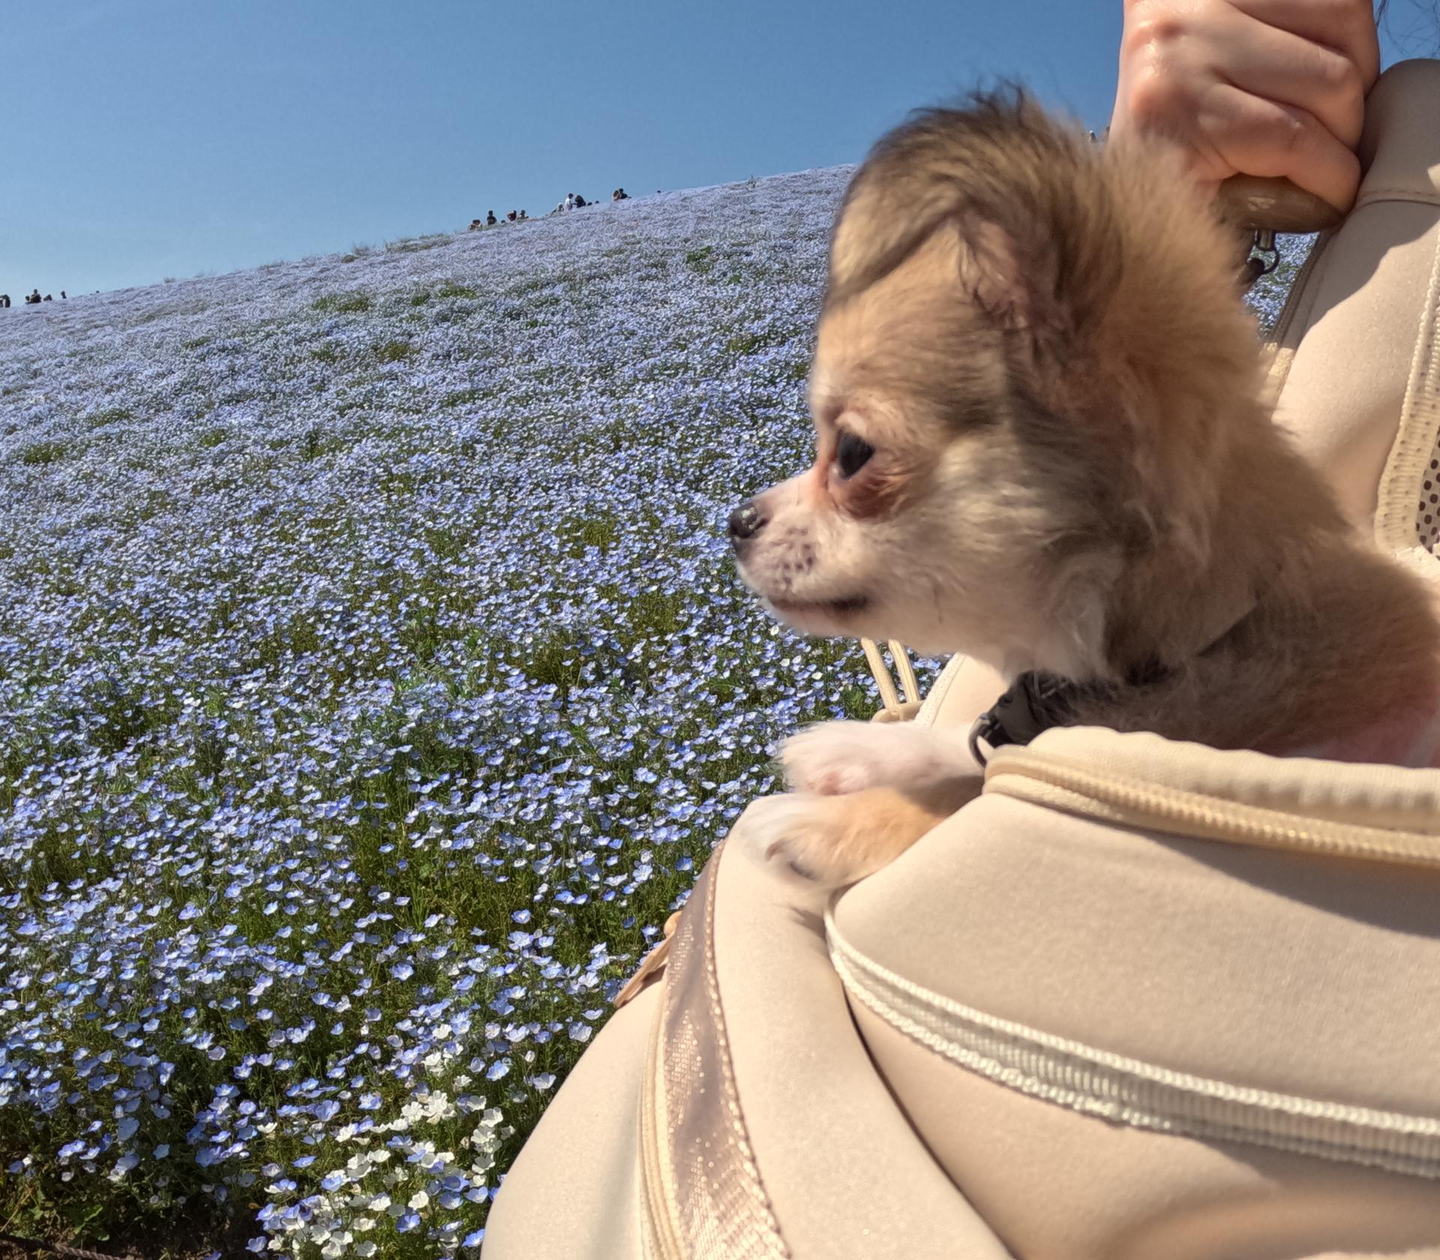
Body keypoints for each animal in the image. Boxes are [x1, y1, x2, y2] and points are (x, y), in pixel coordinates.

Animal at [729, 90, 1440, 887]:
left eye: (850, 454)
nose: (736, 521)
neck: (1193, 643)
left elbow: (973, 788)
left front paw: (832, 823)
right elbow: (976, 742)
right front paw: (860, 751)